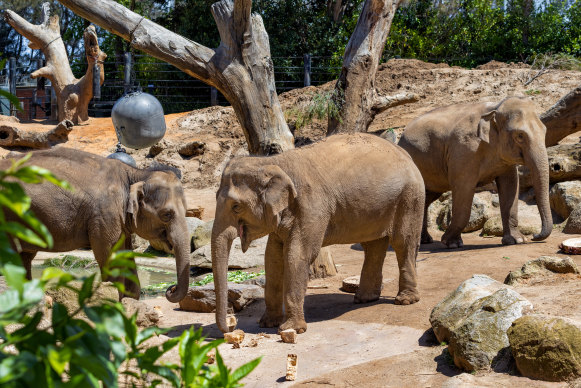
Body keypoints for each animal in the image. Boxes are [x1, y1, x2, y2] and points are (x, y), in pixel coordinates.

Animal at [2, 147, 193, 302]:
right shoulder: (105, 214)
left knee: (24, 258)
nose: (171, 289)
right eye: (167, 215)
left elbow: (126, 257)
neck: (134, 174)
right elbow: (110, 259)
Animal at [211, 133, 424, 334]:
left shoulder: (311, 207)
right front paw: (267, 324)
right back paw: (364, 299)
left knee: (403, 242)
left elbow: (297, 255)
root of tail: (406, 154)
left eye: (236, 207)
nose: (231, 327)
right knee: (373, 245)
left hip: (410, 196)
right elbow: (272, 257)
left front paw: (291, 329)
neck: (275, 162)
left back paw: (405, 300)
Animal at [396, 97, 552, 249]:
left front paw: (516, 240)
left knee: (427, 197)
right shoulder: (464, 150)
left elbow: (511, 186)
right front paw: (451, 243)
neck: (495, 107)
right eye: (520, 136)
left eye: (545, 131)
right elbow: (464, 189)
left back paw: (424, 240)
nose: (534, 236)